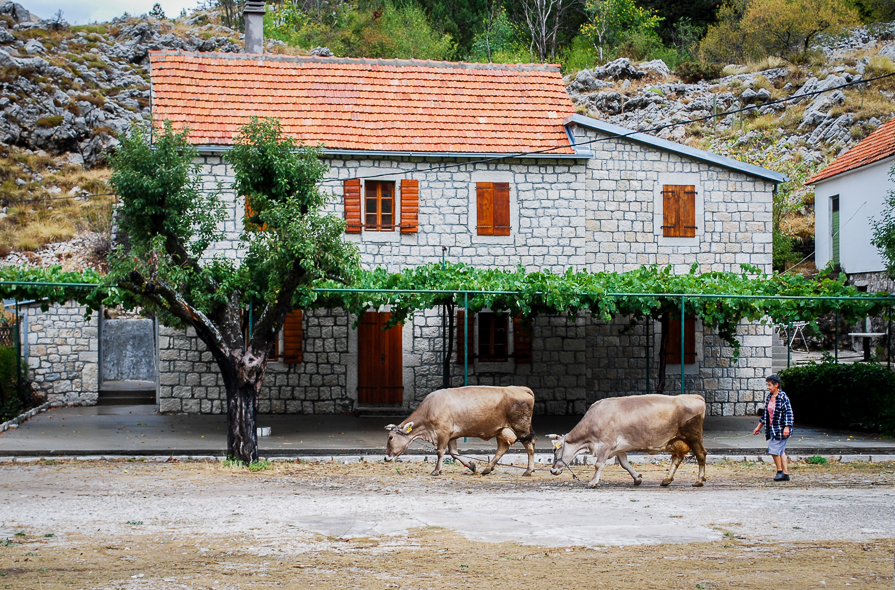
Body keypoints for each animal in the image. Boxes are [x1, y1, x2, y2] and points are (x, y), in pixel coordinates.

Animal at [384, 386, 536, 478]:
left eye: (390, 437)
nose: (386, 458)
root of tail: (520, 388)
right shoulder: (451, 435)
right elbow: (454, 453)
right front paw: (471, 466)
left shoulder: (443, 432)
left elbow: (440, 451)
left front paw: (436, 470)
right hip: (501, 430)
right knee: (502, 448)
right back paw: (487, 468)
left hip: (521, 428)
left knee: (529, 446)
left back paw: (528, 471)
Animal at [544, 396, 708, 488]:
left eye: (554, 450)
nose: (552, 470)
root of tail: (695, 396)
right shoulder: (619, 448)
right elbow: (624, 464)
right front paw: (637, 478)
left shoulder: (605, 445)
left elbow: (598, 464)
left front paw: (592, 483)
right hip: (677, 441)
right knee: (677, 458)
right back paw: (666, 480)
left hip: (693, 437)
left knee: (701, 455)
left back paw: (699, 481)